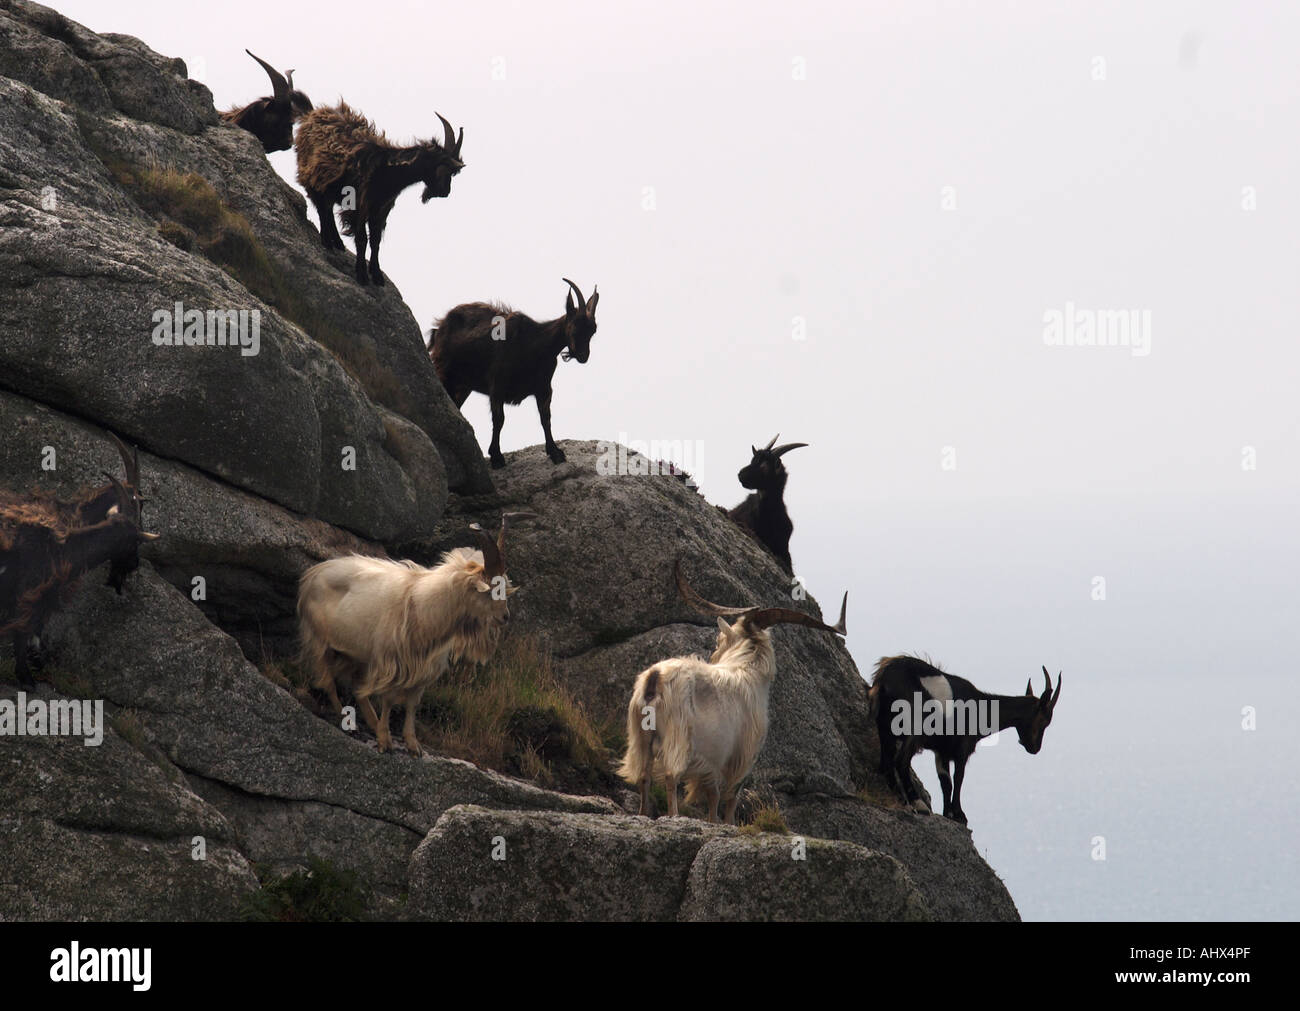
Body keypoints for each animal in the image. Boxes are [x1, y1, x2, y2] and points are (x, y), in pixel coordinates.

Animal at [296, 511, 533, 748]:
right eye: (489, 590)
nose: (504, 617)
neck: (421, 606)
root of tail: (312, 575)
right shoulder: (392, 662)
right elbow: (389, 699)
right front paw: (385, 740)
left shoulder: (423, 668)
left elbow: (411, 703)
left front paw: (412, 744)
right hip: (320, 640)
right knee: (328, 681)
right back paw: (349, 722)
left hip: (357, 653)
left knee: (357, 687)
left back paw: (370, 722)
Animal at [431, 275, 603, 465]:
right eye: (575, 324)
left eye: (593, 330)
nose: (583, 356)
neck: (535, 345)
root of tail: (439, 327)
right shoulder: (497, 385)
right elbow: (499, 420)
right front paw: (496, 456)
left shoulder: (544, 388)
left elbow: (546, 419)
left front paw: (555, 452)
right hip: (444, 372)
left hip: (463, 385)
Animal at [616, 556, 842, 821]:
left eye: (720, 639)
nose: (714, 655)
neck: (746, 669)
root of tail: (655, 678)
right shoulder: (738, 757)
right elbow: (728, 796)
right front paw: (725, 823)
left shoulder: (713, 762)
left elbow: (713, 795)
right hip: (678, 736)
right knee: (672, 775)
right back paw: (674, 816)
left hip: (640, 736)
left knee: (643, 776)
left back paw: (643, 813)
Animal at [868, 649, 1060, 821]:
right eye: (1045, 720)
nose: (1034, 748)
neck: (982, 707)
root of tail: (883, 680)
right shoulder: (963, 747)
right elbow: (958, 777)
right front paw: (960, 815)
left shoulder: (942, 752)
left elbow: (946, 782)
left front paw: (948, 814)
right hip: (914, 727)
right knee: (901, 761)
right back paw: (918, 803)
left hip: (884, 727)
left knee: (886, 762)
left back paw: (902, 800)